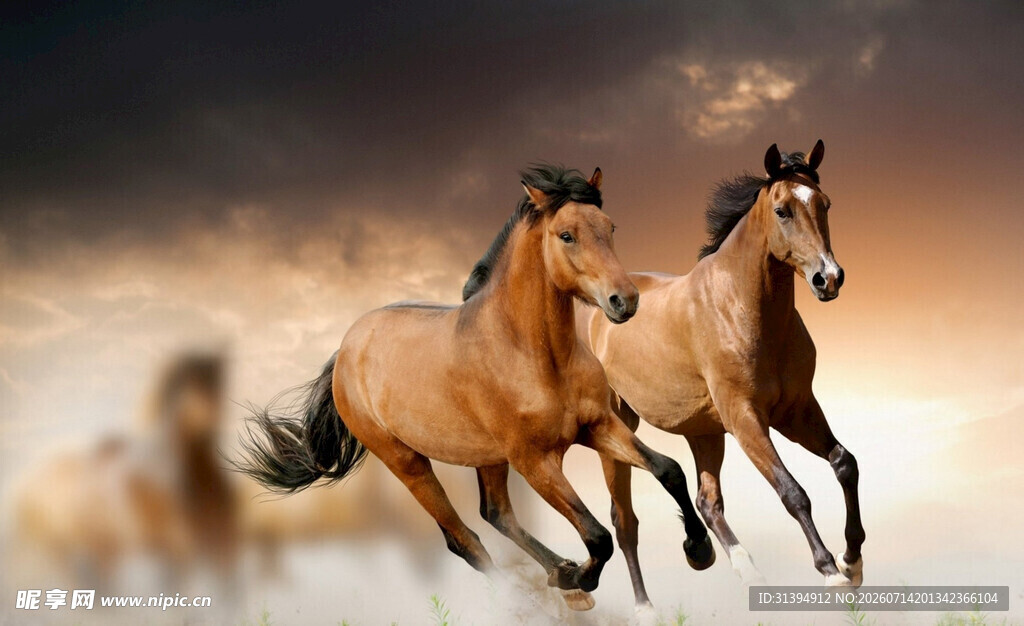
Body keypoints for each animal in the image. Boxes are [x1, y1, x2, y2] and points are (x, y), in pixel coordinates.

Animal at [235, 165, 714, 612]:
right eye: (566, 235)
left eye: (610, 227)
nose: (625, 301)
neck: (535, 354)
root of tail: (346, 350)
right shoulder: (534, 461)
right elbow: (597, 536)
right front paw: (579, 578)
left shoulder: (597, 426)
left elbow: (668, 469)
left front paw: (699, 550)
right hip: (408, 462)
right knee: (464, 539)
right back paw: (540, 594)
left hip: (487, 457)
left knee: (496, 514)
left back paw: (559, 574)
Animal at [579, 141, 865, 610]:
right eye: (783, 210)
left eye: (824, 204)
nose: (829, 278)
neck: (742, 308)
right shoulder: (745, 418)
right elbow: (793, 492)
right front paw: (830, 571)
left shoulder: (796, 411)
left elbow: (845, 463)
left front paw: (852, 560)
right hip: (619, 427)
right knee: (625, 522)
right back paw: (645, 607)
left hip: (704, 432)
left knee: (707, 502)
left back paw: (737, 567)